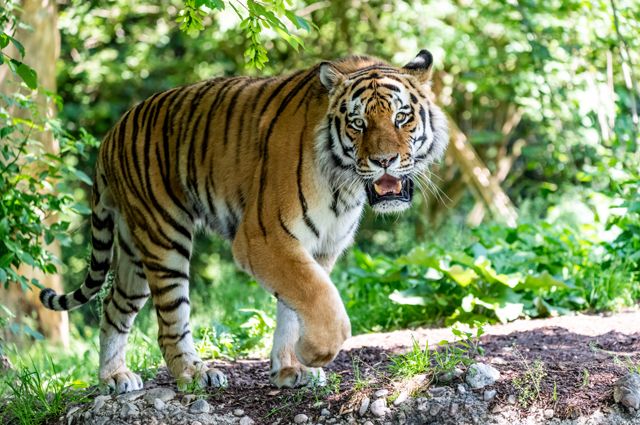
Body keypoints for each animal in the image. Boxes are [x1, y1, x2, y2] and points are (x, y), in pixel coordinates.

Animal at [40, 50, 450, 394]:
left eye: (401, 117)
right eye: (358, 123)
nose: (384, 161)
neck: (345, 182)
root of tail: (111, 133)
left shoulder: (319, 246)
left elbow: (295, 306)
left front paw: (290, 369)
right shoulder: (264, 237)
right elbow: (318, 299)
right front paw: (315, 353)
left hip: (133, 250)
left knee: (113, 307)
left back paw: (114, 377)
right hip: (164, 236)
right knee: (169, 320)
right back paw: (194, 373)